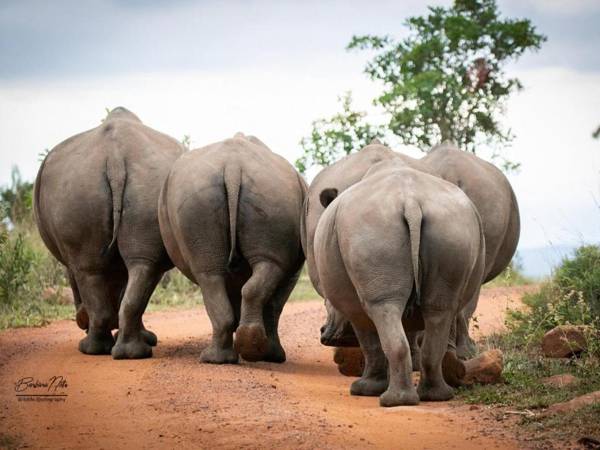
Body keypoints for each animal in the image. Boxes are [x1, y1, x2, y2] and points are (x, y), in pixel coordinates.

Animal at [34, 106, 185, 358]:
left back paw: (91, 349)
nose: (80, 320)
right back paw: (130, 353)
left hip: (81, 186)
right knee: (142, 266)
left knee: (91, 269)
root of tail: (115, 158)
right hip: (130, 183)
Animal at [158, 133, 304, 362]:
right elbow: (274, 304)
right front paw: (268, 354)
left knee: (211, 275)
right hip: (264, 193)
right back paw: (245, 349)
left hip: (218, 195)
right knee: (225, 272)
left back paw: (220, 357)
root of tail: (234, 165)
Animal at [312, 165, 486, 404]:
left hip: (370, 228)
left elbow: (369, 341)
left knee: (383, 307)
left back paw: (392, 401)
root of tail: (410, 202)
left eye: (327, 305)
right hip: (452, 228)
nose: (324, 335)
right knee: (439, 309)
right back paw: (435, 396)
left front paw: (364, 389)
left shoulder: (352, 307)